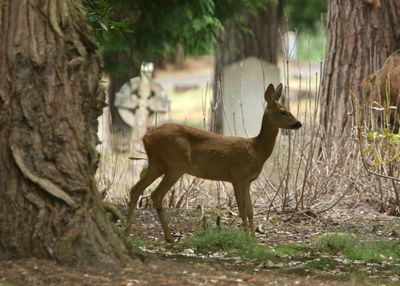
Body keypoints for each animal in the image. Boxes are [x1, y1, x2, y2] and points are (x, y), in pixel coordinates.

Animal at [125, 82, 300, 241]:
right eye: (283, 111)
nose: (299, 123)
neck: (256, 150)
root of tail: (146, 137)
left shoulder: (247, 181)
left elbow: (250, 210)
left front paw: (253, 239)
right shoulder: (238, 177)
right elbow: (243, 210)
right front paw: (247, 239)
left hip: (157, 164)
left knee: (135, 189)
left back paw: (128, 231)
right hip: (175, 165)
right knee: (156, 194)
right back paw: (169, 238)